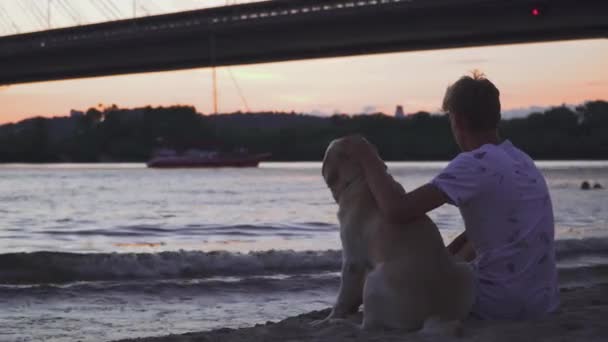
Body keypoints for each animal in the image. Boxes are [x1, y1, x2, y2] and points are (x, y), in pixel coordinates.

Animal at [318, 137, 476, 332]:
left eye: (326, 157)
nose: (322, 167)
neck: (360, 179)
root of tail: (431, 316)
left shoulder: (352, 260)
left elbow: (342, 297)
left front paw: (329, 318)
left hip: (375, 279)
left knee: (368, 326)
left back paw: (342, 323)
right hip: (465, 270)